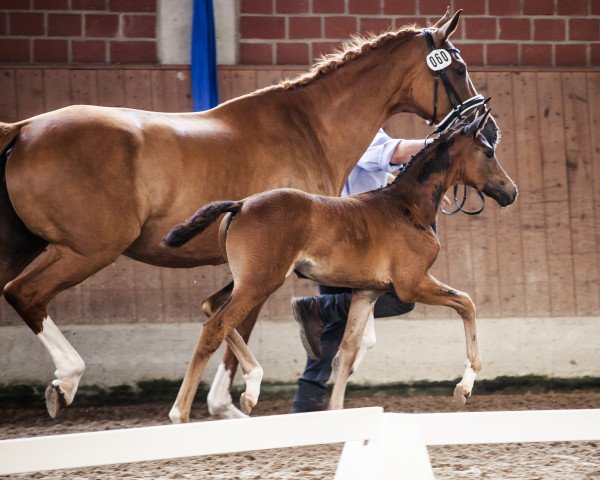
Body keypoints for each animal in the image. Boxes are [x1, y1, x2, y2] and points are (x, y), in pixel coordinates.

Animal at [165, 109, 516, 420]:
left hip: (248, 280)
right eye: (488, 152)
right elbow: (466, 303)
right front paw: (464, 388)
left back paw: (252, 387)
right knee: (215, 327)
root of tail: (240, 204)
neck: (406, 208)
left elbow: (346, 353)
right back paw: (181, 414)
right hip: (259, 283)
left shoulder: (367, 292)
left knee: (211, 307)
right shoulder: (412, 284)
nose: (511, 191)